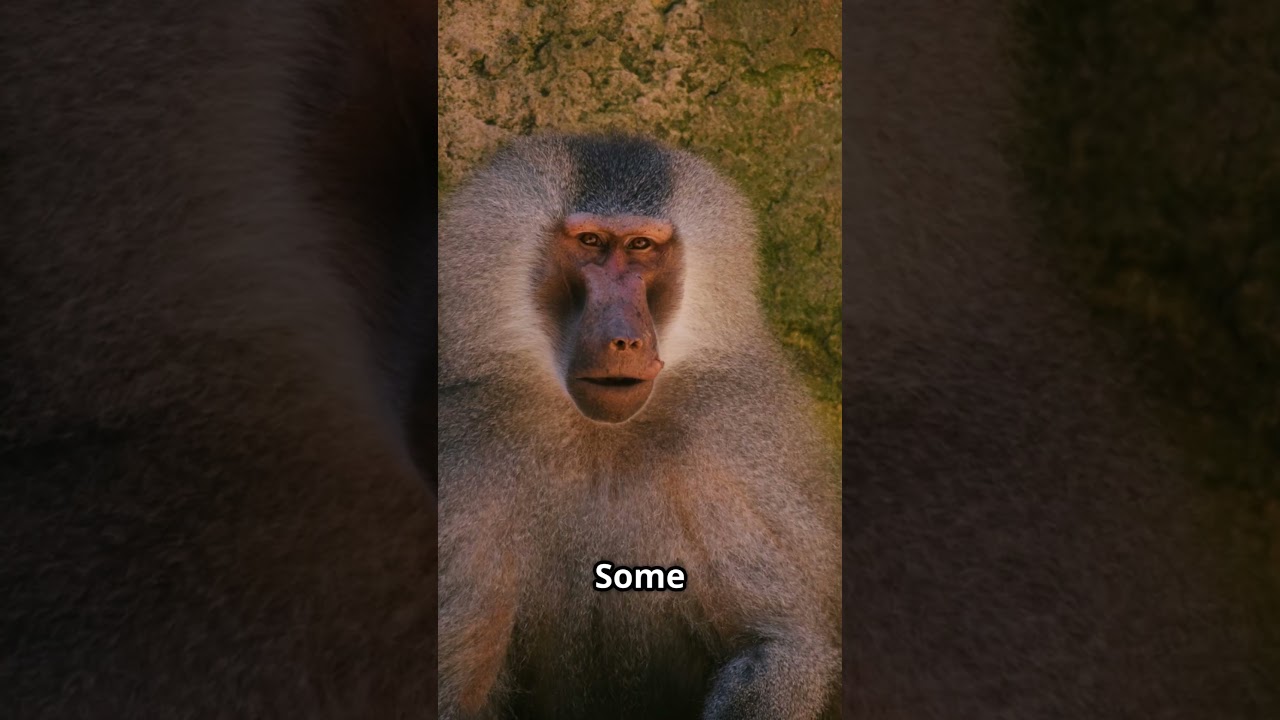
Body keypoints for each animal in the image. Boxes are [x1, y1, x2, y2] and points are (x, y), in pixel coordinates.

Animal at [437, 133, 842, 720]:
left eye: (642, 247)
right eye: (591, 242)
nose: (624, 339)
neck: (598, 437)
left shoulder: (729, 443)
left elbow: (779, 643)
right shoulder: (467, 447)